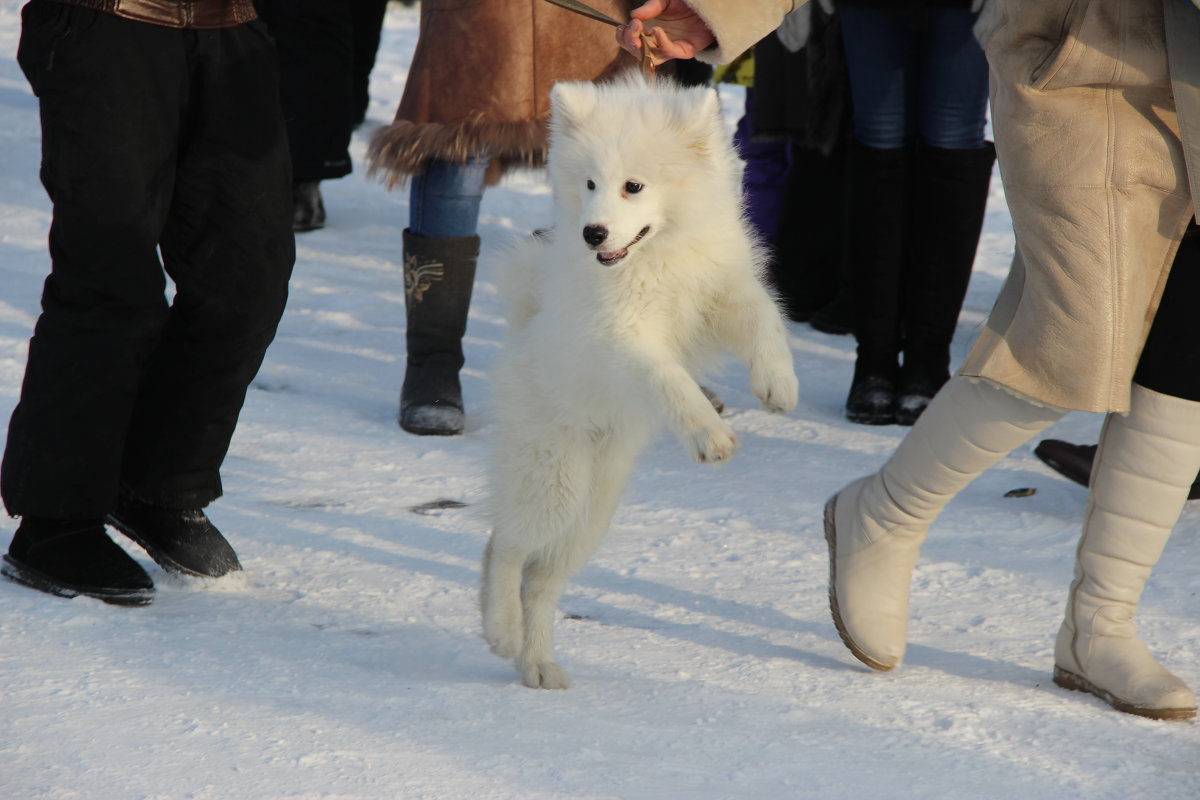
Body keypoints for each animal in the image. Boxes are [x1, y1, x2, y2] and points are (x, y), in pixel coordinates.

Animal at [477, 76, 796, 690]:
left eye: (634, 186)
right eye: (589, 183)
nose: (591, 232)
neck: (657, 255)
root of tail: (523, 330)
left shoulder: (719, 291)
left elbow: (763, 317)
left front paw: (778, 384)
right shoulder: (625, 341)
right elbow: (670, 380)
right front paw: (710, 436)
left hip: (595, 509)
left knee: (538, 578)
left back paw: (538, 664)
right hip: (555, 479)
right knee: (504, 545)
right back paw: (500, 631)